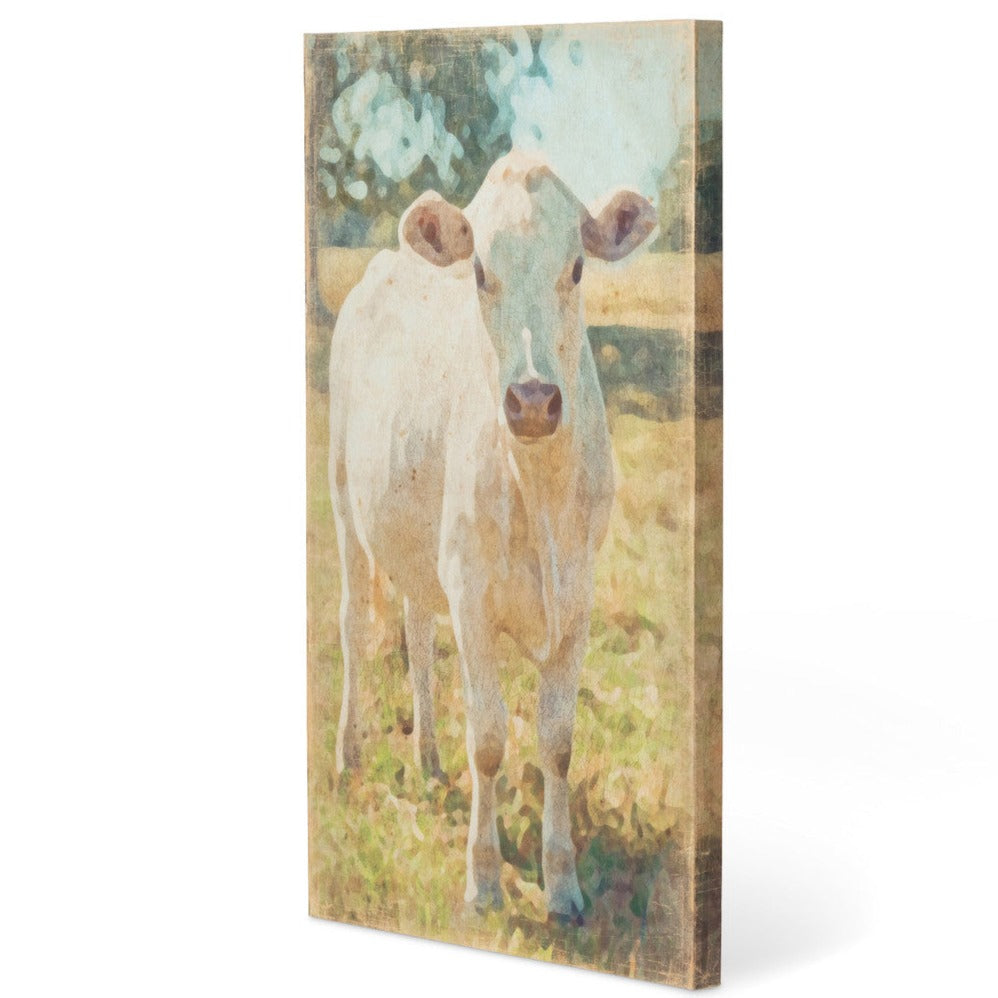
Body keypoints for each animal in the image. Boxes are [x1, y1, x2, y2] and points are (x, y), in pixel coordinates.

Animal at [328, 151, 656, 918]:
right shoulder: (472, 594)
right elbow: (488, 736)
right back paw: (350, 757)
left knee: (417, 637)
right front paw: (483, 879)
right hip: (343, 503)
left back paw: (428, 761)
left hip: (418, 543)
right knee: (356, 628)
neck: (537, 493)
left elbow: (557, 739)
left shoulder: (577, 599)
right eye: (479, 270)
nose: (533, 400)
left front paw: (562, 884)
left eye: (577, 267)